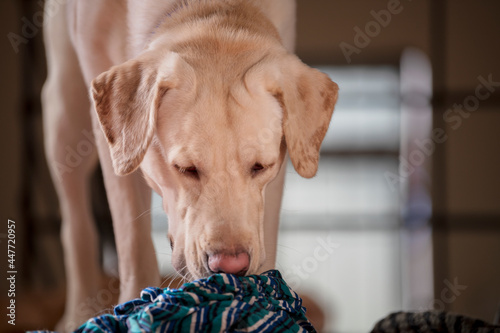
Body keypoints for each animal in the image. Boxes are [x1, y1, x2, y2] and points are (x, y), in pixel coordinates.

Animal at [43, 0, 338, 328]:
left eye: (260, 167)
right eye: (186, 169)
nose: (230, 266)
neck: (213, 12)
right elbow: (134, 248)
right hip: (63, 113)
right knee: (76, 223)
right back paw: (76, 314)